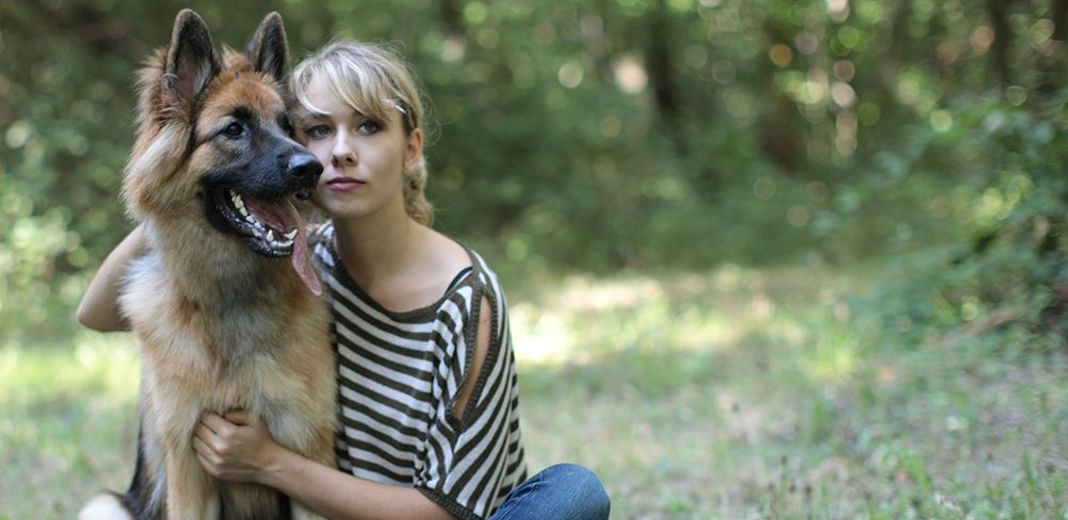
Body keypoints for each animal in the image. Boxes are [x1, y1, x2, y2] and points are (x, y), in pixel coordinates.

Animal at [79, 9, 335, 520]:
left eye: (287, 125)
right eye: (234, 129)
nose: (311, 168)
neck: (228, 297)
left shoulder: (308, 455)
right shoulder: (189, 468)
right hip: (105, 504)